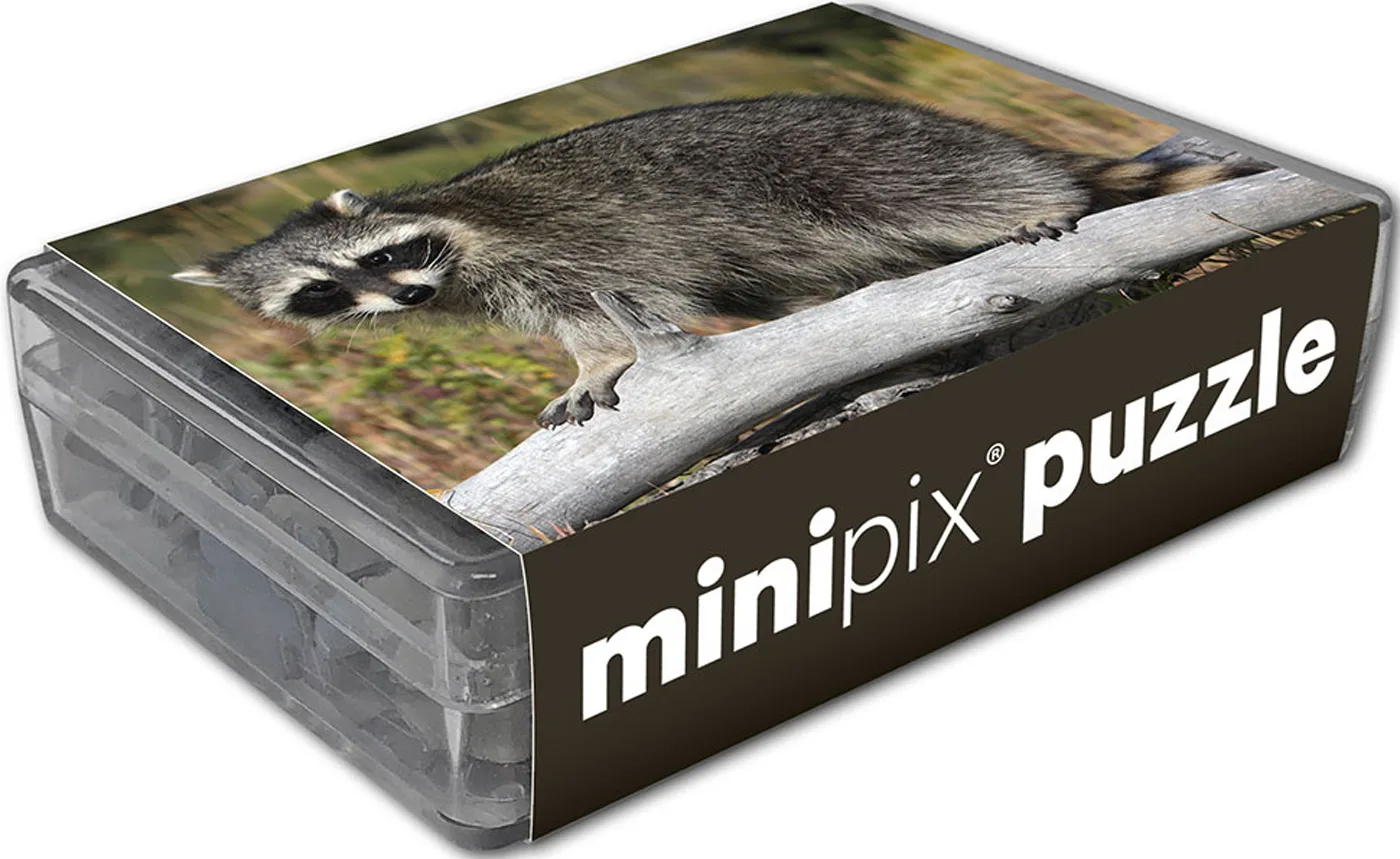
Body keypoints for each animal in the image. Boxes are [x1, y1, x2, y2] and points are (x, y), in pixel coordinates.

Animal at [174, 94, 1264, 428]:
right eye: (323, 290)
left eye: (392, 253)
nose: (401, 293)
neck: (446, 243)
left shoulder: (558, 245)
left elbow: (613, 302)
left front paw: (605, 359)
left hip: (860, 157)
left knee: (921, 191)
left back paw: (1038, 204)